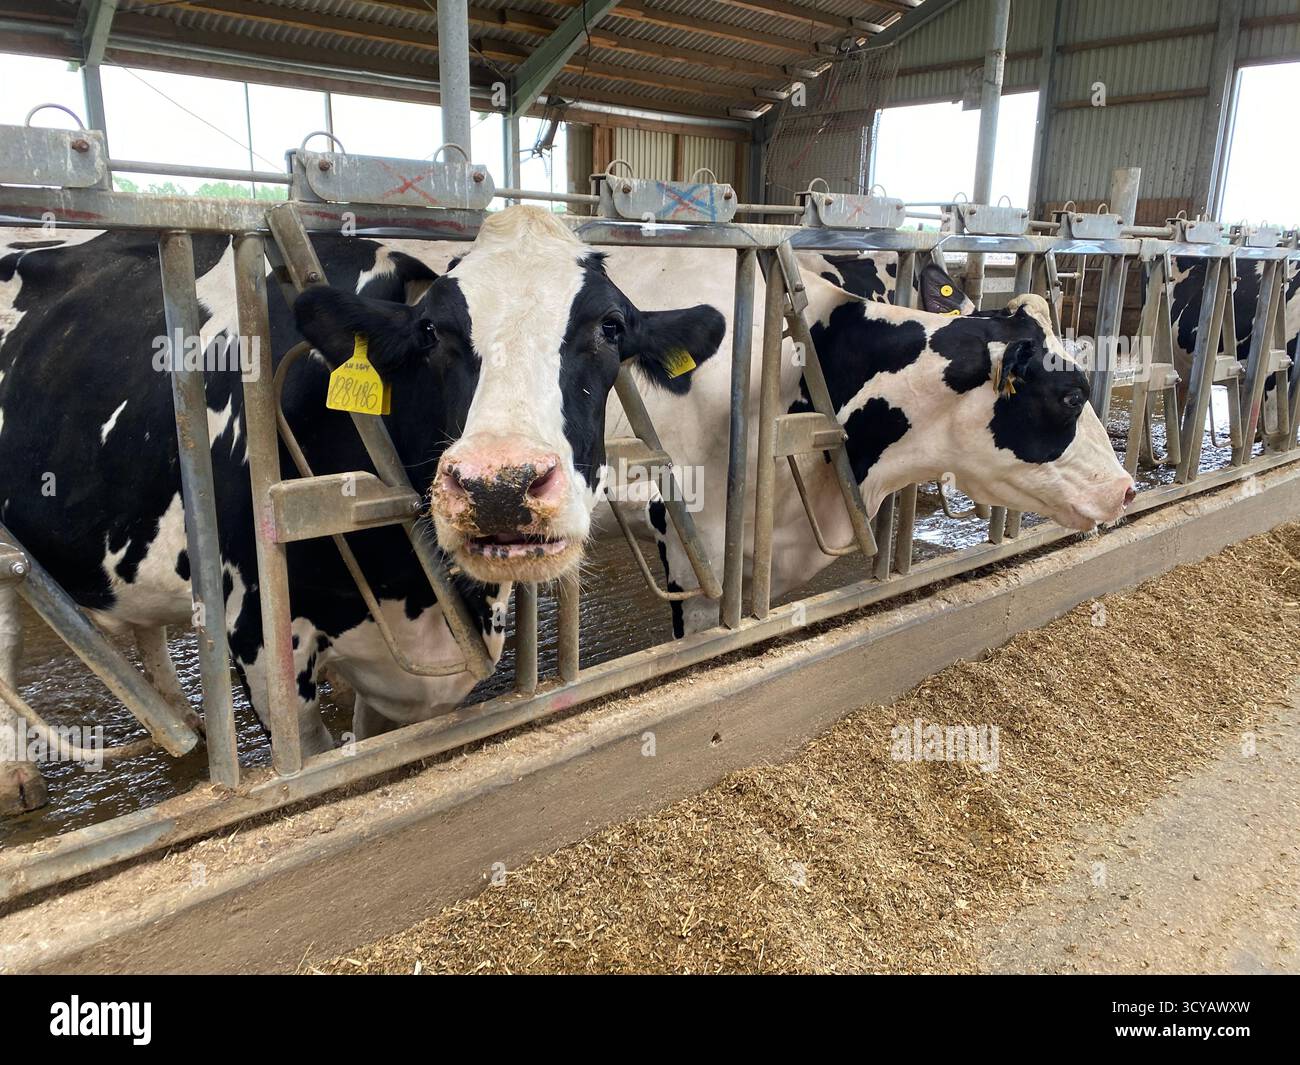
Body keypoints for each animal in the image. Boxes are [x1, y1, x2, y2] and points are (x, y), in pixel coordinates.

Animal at [0, 205, 725, 813]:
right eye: (431, 332)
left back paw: (187, 718)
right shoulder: (260, 640)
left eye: (611, 328)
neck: (412, 591)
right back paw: (19, 777)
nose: (500, 485)